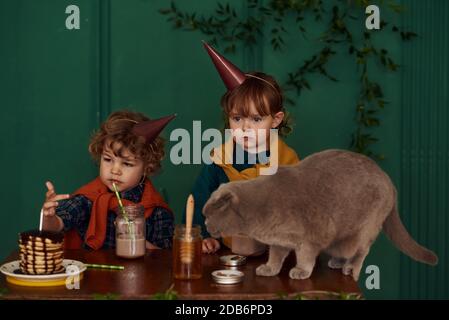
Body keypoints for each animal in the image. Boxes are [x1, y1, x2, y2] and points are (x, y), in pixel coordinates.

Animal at [201, 150, 436, 280]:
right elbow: (275, 255)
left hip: (365, 229)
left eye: (209, 215)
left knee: (361, 251)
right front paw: (269, 268)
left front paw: (300, 271)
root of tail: (390, 182)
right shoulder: (279, 240)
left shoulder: (310, 238)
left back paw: (350, 268)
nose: (205, 222)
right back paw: (337, 263)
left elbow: (306, 256)